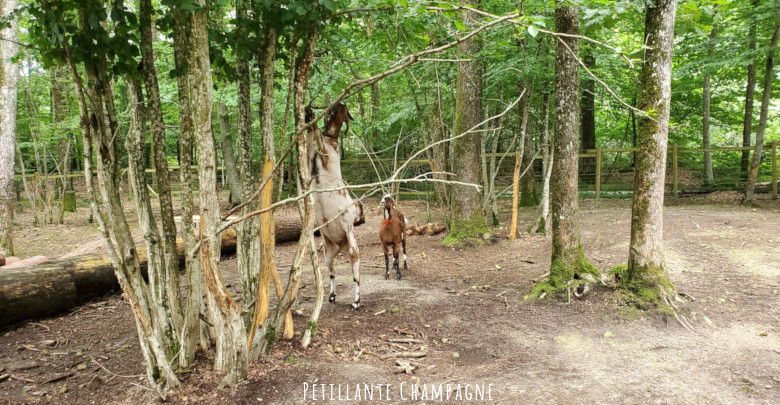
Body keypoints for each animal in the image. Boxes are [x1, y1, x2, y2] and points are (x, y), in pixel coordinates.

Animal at [308, 102, 362, 308]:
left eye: (343, 110)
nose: (339, 104)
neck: (330, 138)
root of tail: (341, 244)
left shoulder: (325, 154)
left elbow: (316, 134)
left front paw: (311, 119)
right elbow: (310, 137)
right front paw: (307, 115)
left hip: (353, 246)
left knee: (356, 274)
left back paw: (356, 300)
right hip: (328, 252)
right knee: (331, 273)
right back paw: (331, 295)